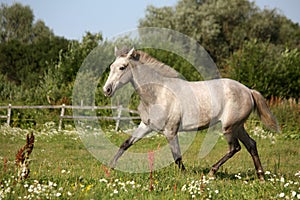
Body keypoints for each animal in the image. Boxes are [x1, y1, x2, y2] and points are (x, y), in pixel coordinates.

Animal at [103, 47, 278, 181]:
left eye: (122, 67)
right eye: (111, 67)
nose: (107, 90)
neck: (158, 93)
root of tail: (248, 90)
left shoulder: (170, 131)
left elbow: (177, 156)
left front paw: (185, 176)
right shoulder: (146, 126)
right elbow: (125, 144)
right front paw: (109, 168)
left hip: (229, 127)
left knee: (234, 148)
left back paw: (212, 172)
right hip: (238, 127)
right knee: (251, 145)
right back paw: (261, 177)